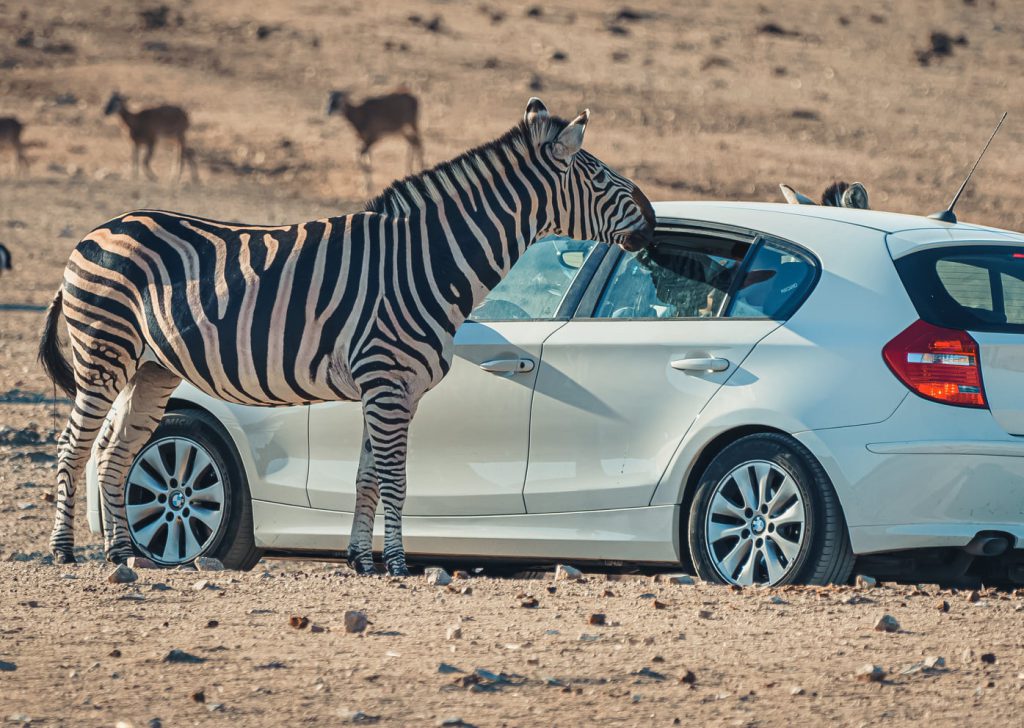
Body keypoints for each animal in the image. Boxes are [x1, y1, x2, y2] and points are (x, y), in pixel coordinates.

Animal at [37, 98, 655, 573]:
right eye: (599, 176)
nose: (651, 220)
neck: (426, 261)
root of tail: (96, 231)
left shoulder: (386, 390)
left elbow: (367, 479)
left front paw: (362, 560)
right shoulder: (388, 382)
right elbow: (395, 480)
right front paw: (399, 564)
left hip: (150, 367)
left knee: (116, 452)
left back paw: (121, 554)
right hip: (103, 354)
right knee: (73, 447)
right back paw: (64, 551)